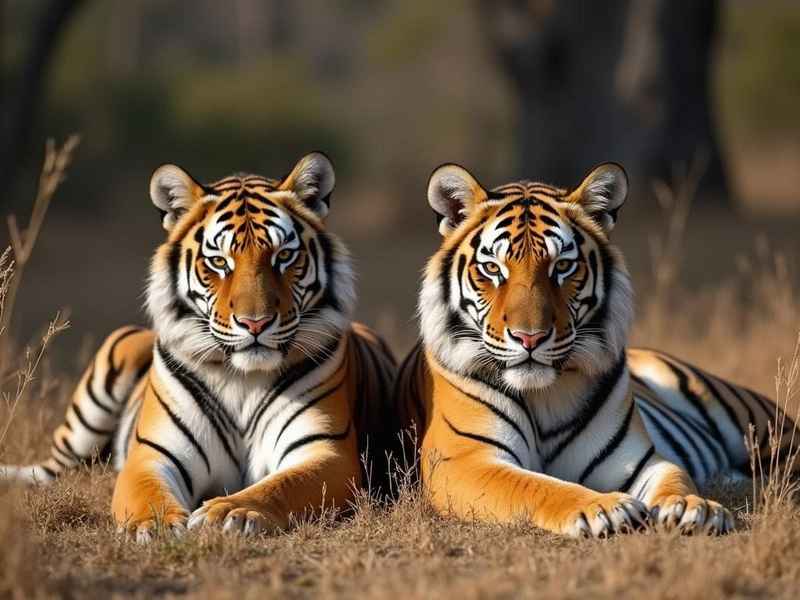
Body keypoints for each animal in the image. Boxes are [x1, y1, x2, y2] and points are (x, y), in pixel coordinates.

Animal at [0, 152, 396, 542]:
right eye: (219, 262)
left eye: (283, 256)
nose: (256, 323)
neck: (243, 378)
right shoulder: (152, 454)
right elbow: (148, 493)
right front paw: (156, 525)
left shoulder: (326, 451)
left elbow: (277, 486)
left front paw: (228, 512)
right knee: (52, 470)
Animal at [394, 161, 797, 537]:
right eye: (493, 269)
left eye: (563, 266)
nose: (529, 338)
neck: (542, 395)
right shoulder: (465, 461)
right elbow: (536, 484)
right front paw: (602, 508)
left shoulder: (639, 460)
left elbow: (675, 477)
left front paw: (692, 507)